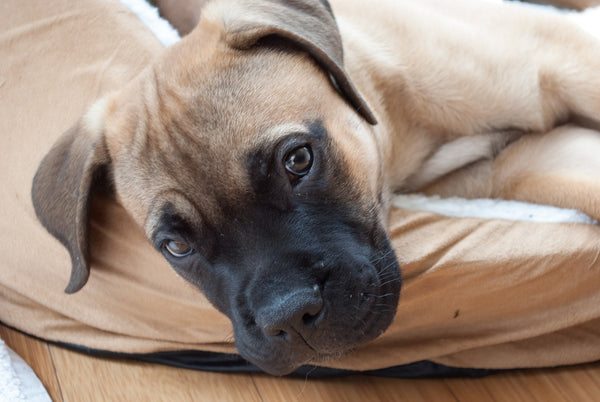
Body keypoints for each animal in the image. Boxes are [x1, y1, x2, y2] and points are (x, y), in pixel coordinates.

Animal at [30, 0, 600, 376]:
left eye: (298, 160)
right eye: (176, 246)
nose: (291, 319)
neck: (400, 126)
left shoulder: (566, 58)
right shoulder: (522, 163)